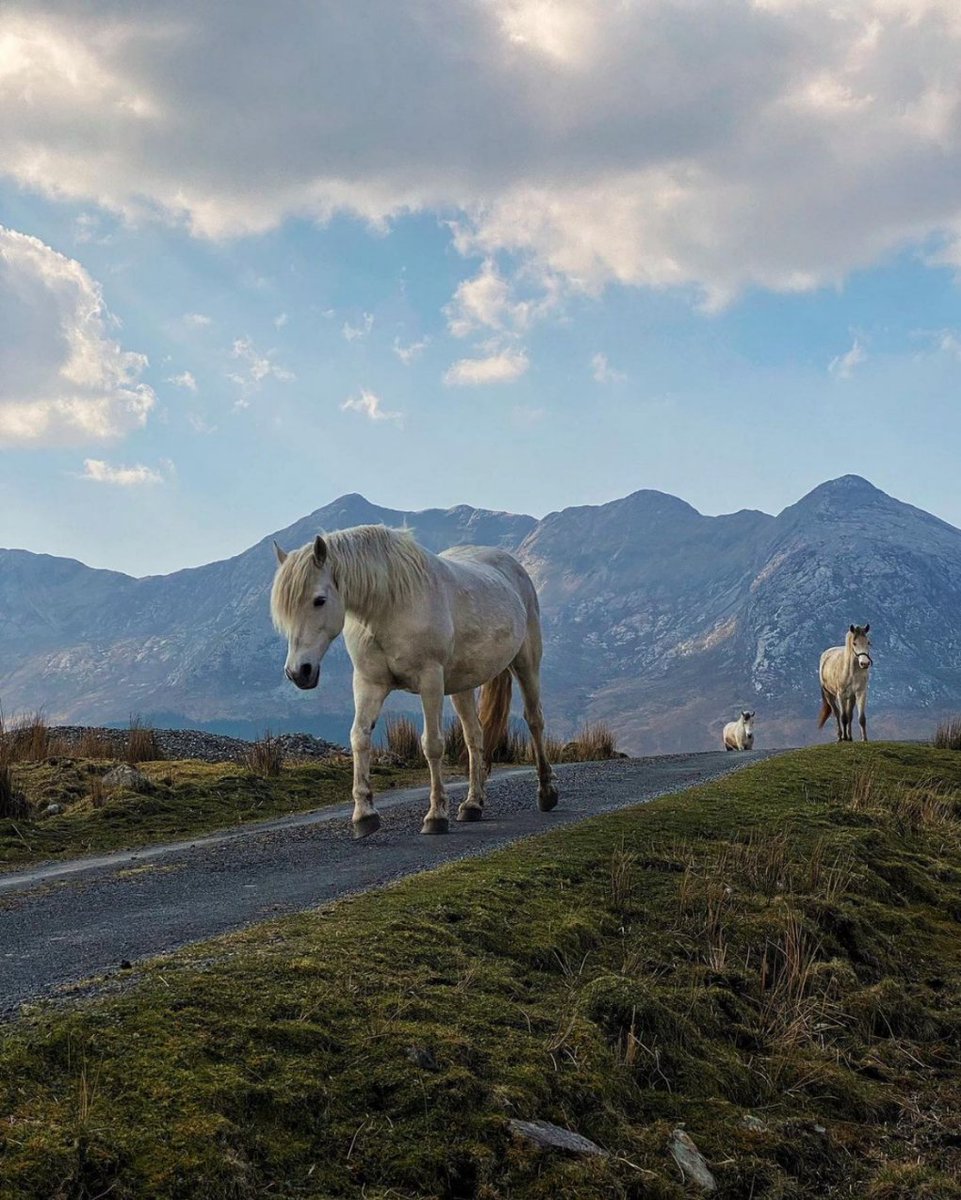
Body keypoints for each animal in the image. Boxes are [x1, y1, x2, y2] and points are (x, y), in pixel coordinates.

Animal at [270, 524, 558, 838]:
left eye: (319, 600)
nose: (298, 672)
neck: (389, 607)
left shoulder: (429, 680)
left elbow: (431, 744)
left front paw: (436, 816)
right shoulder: (369, 684)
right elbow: (359, 737)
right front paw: (364, 815)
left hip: (526, 663)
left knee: (534, 720)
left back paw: (546, 793)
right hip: (462, 686)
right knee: (474, 736)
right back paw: (472, 804)